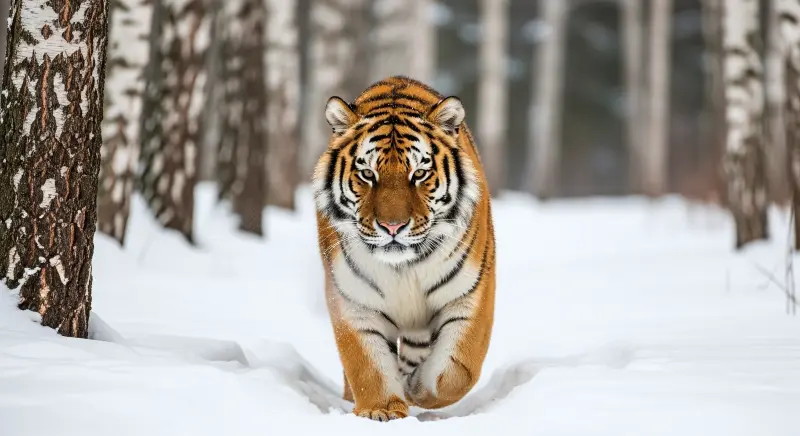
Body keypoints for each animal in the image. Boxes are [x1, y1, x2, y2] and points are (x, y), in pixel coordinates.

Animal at [312, 76, 496, 421]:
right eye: (367, 174)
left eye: (419, 174)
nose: (392, 227)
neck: (404, 268)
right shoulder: (353, 301)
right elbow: (367, 365)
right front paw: (381, 409)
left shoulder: (470, 296)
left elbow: (456, 371)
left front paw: (414, 386)